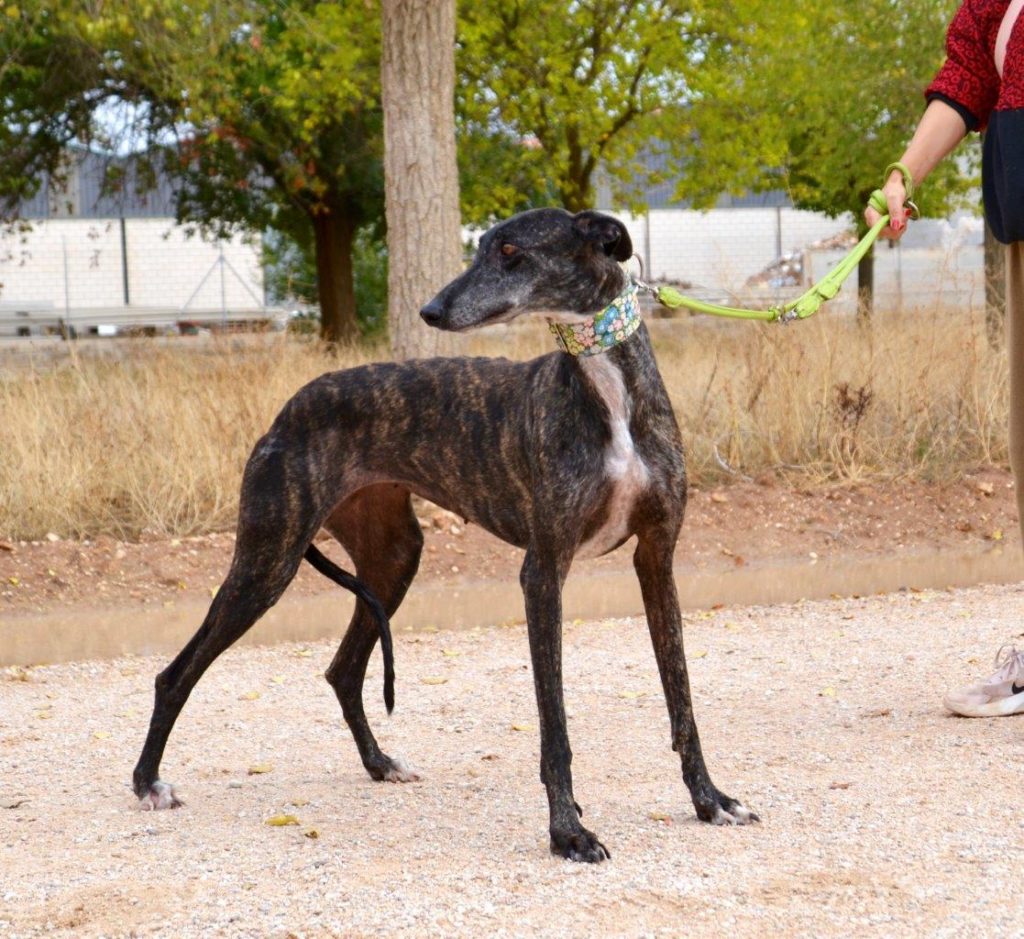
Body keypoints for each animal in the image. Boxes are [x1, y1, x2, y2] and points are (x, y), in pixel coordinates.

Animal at [132, 208, 757, 860]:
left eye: (508, 250)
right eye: (480, 246)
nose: (431, 310)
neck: (606, 390)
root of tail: (285, 412)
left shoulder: (656, 558)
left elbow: (682, 699)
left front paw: (711, 800)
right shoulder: (544, 571)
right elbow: (554, 725)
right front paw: (568, 832)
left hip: (392, 557)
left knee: (343, 670)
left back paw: (380, 763)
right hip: (267, 558)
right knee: (175, 674)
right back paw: (148, 782)